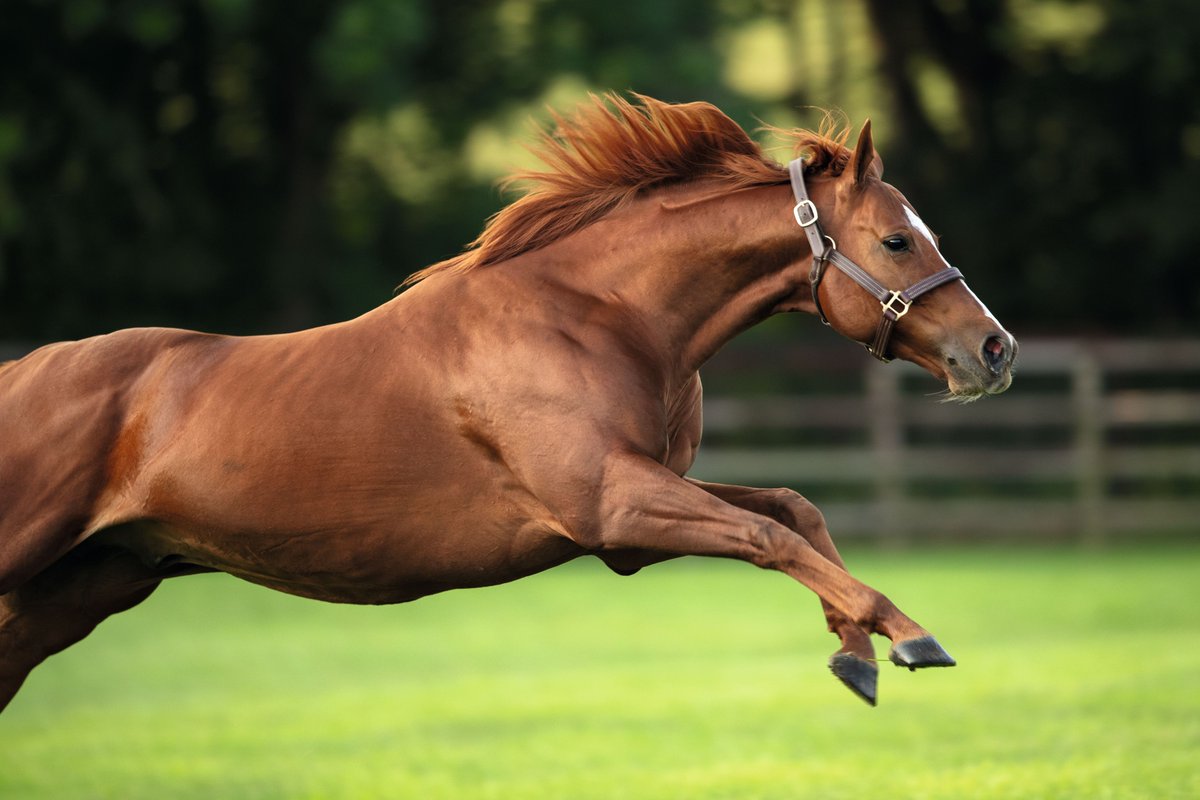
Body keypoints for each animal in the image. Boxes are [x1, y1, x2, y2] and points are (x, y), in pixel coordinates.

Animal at [0, 94, 1015, 710]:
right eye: (895, 240)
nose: (994, 350)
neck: (597, 317)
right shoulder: (611, 505)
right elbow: (771, 534)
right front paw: (911, 639)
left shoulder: (630, 517)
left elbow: (793, 509)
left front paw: (854, 652)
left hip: (91, 583)